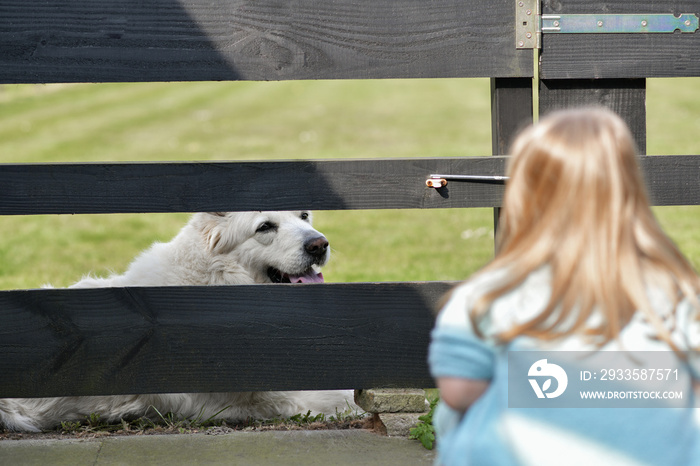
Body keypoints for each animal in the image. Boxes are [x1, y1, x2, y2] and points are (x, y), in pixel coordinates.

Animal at [0, 211, 358, 434]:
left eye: (304, 216)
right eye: (265, 227)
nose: (319, 245)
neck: (214, 281)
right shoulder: (280, 398)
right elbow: (344, 395)